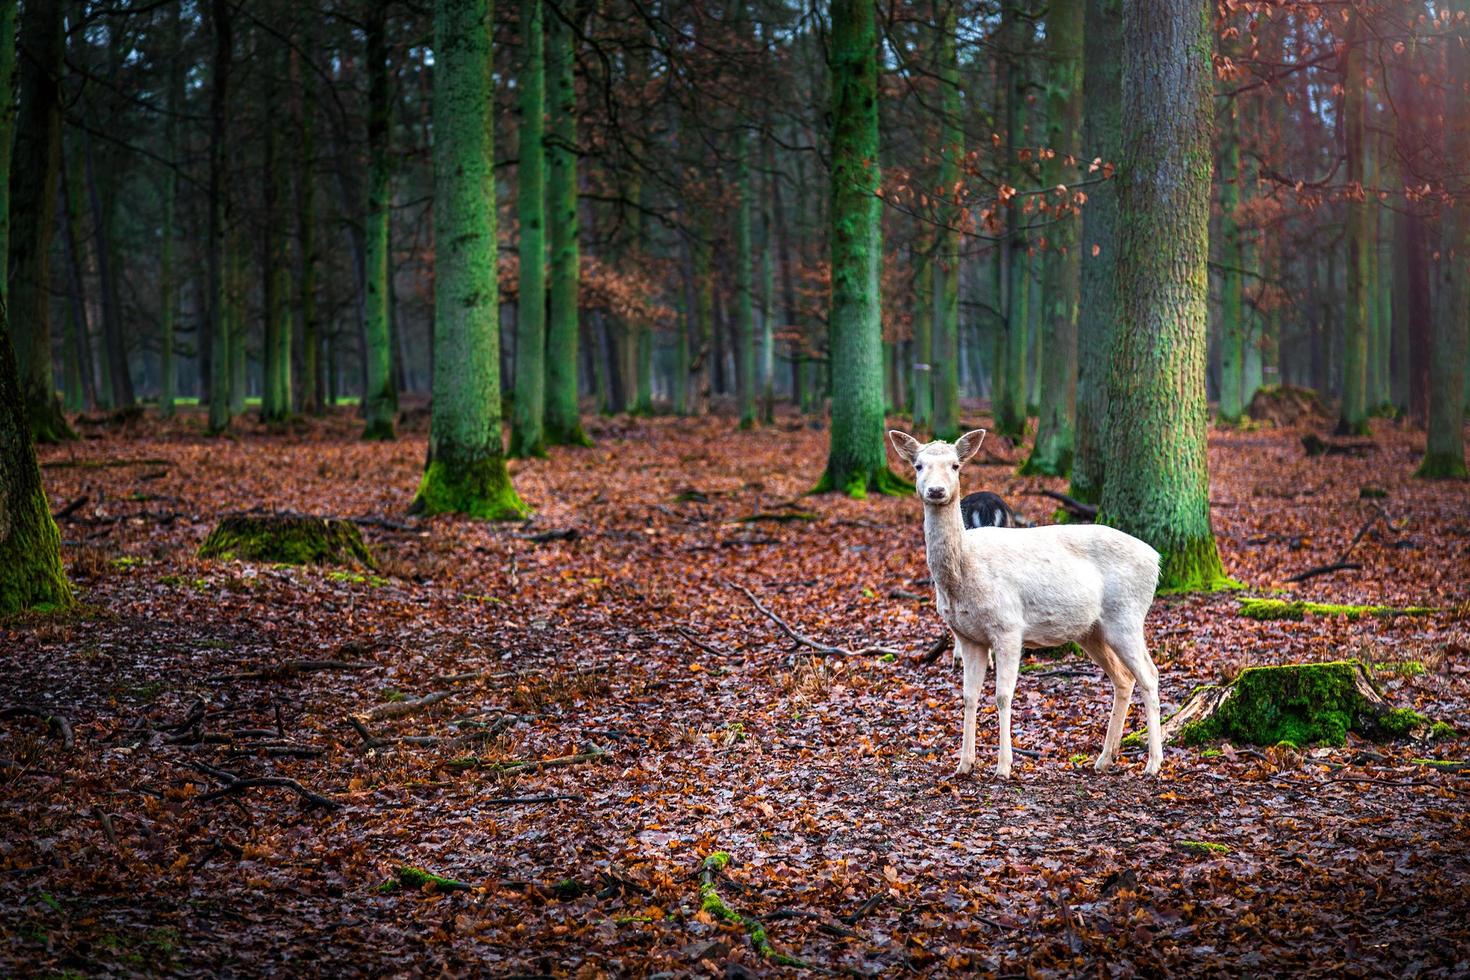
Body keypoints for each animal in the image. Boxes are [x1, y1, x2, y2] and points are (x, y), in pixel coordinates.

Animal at [887, 426, 1164, 775]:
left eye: (955, 465)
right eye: (918, 465)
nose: (936, 490)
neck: (964, 573)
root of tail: (1156, 560)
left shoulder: (1008, 627)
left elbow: (1003, 695)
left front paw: (1003, 766)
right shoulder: (968, 636)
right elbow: (968, 696)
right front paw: (964, 764)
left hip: (1127, 616)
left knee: (1150, 675)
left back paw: (1153, 763)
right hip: (1092, 630)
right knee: (1123, 679)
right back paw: (1104, 758)